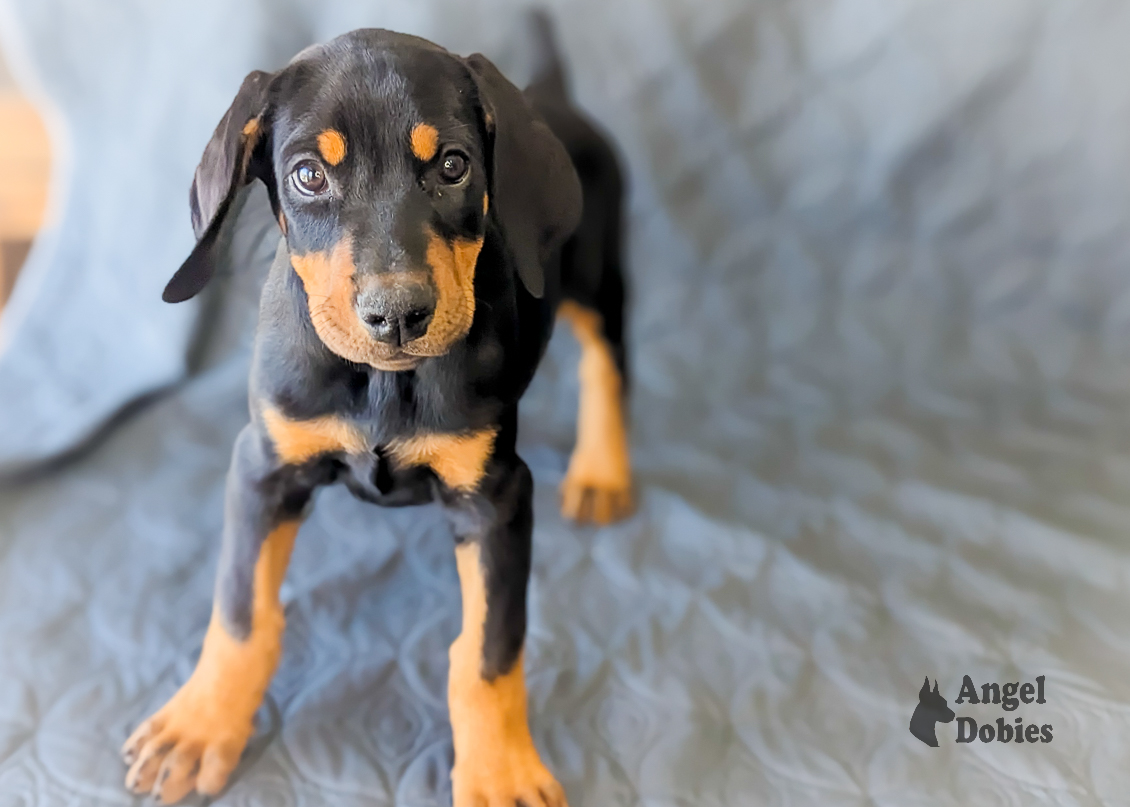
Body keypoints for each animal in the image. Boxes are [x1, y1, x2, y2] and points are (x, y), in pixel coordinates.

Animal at [120, 17, 632, 804]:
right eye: (309, 175)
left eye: (453, 165)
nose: (397, 315)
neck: (382, 385)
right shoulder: (263, 466)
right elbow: (240, 612)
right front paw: (200, 726)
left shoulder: (497, 497)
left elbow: (488, 650)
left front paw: (501, 770)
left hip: (596, 272)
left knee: (607, 359)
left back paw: (602, 468)